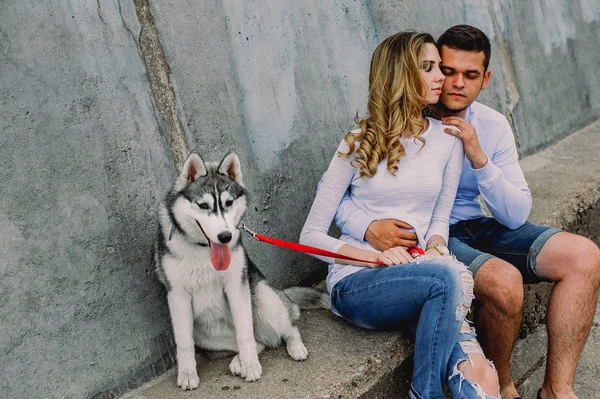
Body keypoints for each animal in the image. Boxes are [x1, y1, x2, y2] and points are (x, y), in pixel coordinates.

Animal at [155, 152, 328, 390]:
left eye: (229, 203)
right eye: (203, 205)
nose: (225, 236)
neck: (203, 250)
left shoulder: (237, 286)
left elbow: (244, 333)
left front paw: (251, 366)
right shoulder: (177, 295)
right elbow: (183, 343)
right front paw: (188, 373)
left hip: (264, 297)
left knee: (284, 330)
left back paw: (293, 347)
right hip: (205, 334)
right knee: (259, 343)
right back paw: (239, 361)